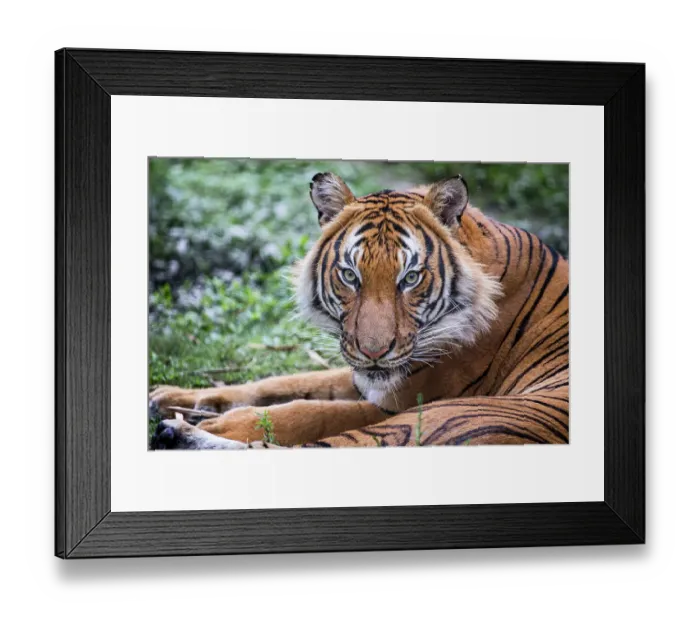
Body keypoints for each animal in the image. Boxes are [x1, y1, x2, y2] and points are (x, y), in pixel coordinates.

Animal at [150, 172, 569, 450]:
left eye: (411, 277)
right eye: (350, 275)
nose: (374, 352)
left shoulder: (399, 403)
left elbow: (305, 412)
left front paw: (220, 422)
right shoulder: (364, 375)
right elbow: (279, 383)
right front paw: (170, 394)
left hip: (446, 416)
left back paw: (180, 434)